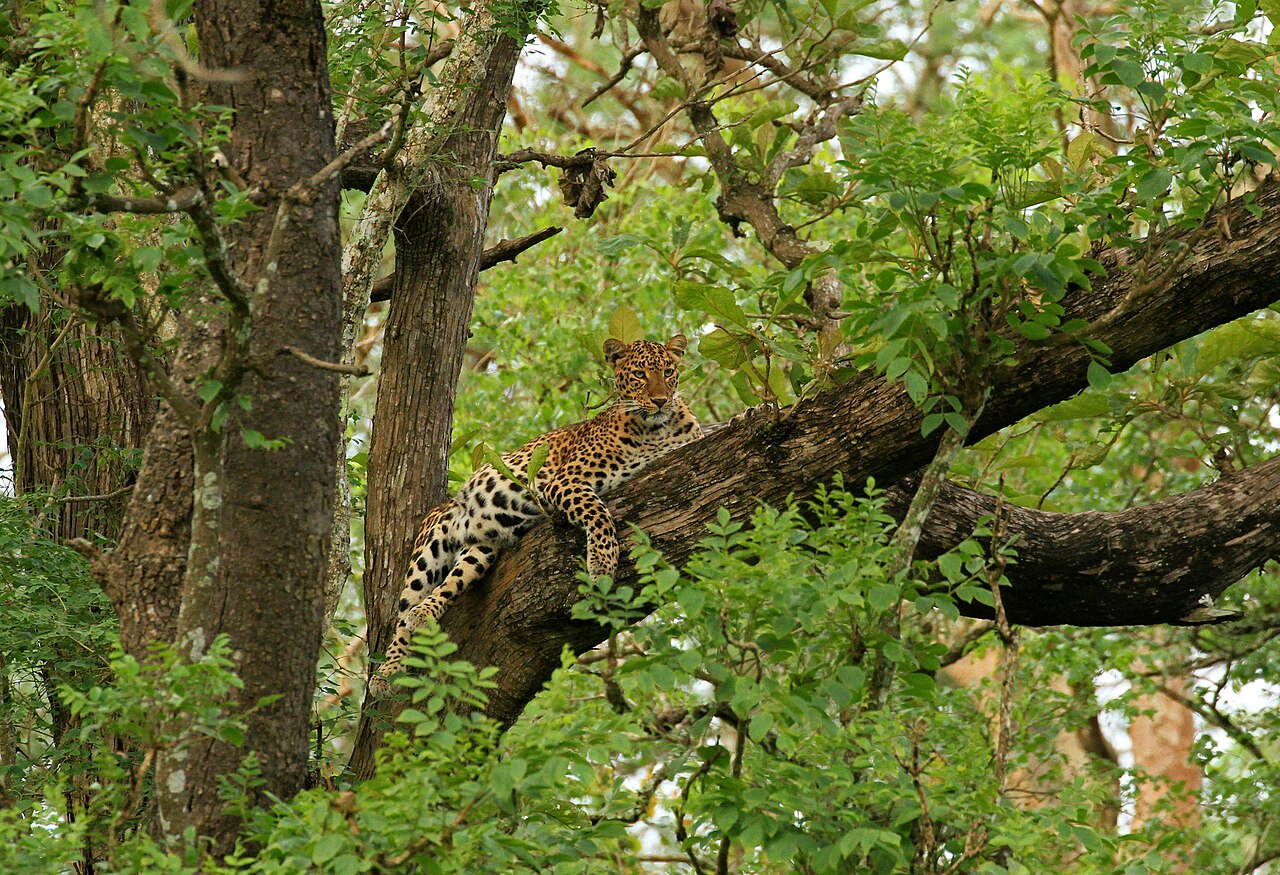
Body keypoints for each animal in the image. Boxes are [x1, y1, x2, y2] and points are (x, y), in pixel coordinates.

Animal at [369, 334, 701, 698]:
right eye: (640, 374)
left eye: (668, 372)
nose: (660, 400)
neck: (656, 430)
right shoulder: (565, 481)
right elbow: (599, 514)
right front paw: (602, 564)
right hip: (431, 546)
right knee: (402, 617)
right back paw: (387, 671)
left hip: (481, 551)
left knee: (449, 585)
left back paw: (425, 613)